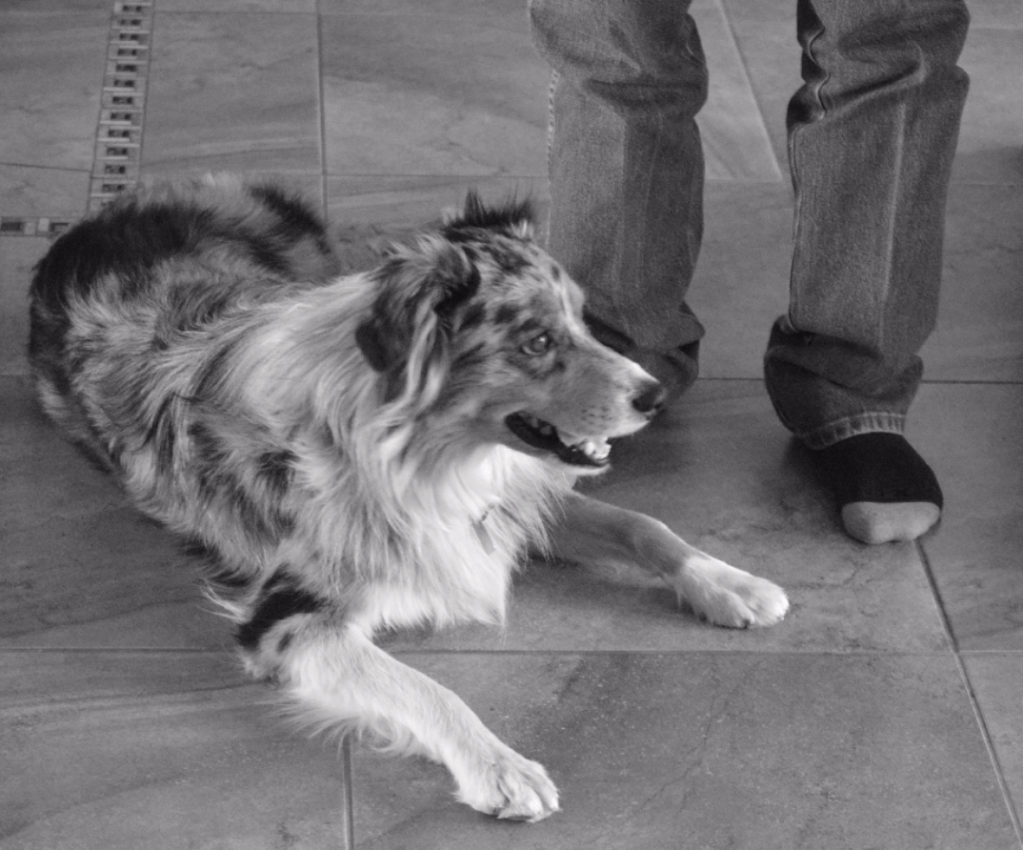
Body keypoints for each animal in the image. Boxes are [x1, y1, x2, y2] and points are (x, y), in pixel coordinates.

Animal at [28, 174, 788, 823]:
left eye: (582, 321)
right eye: (536, 341)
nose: (653, 396)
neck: (420, 453)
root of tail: (111, 208)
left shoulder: (504, 501)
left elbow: (642, 523)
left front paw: (730, 582)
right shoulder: (289, 620)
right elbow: (426, 687)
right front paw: (500, 767)